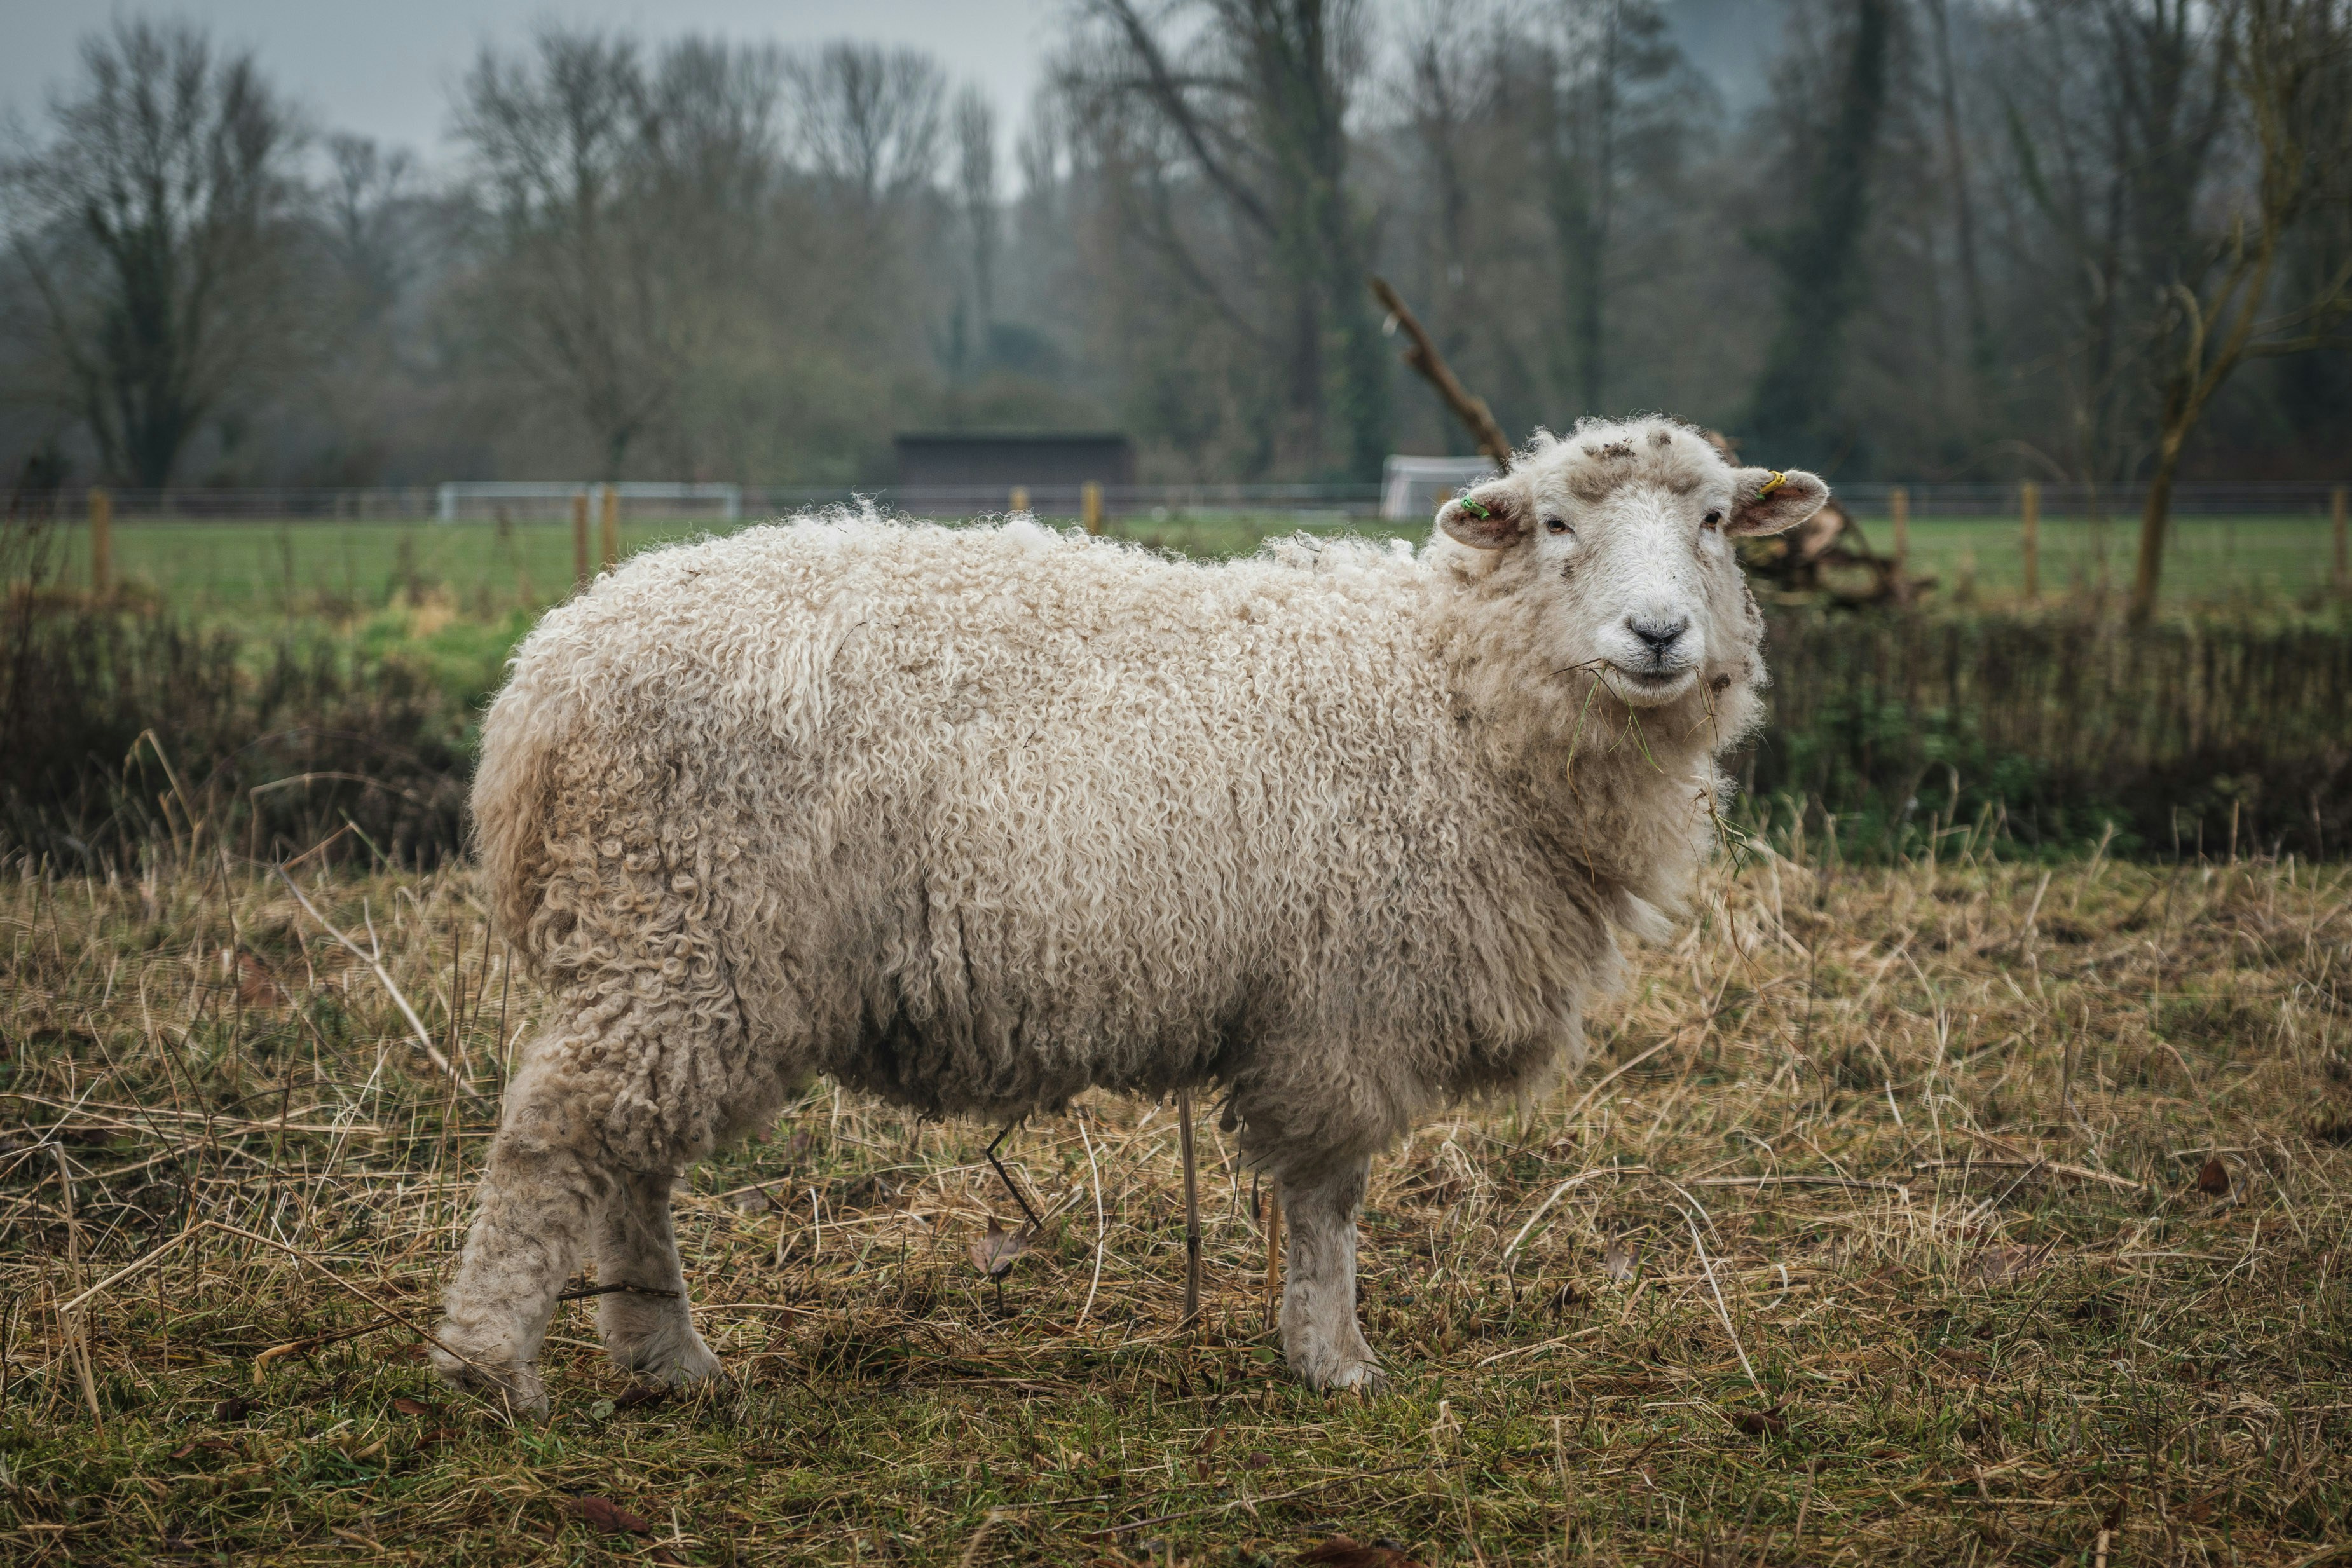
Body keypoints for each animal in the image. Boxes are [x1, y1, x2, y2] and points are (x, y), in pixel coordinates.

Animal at [431, 416, 1828, 1412]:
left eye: (1714, 519)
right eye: (1551, 521)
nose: (1658, 633)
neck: (1449, 689)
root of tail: (546, 674)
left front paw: (1315, 1349)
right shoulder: (1341, 998)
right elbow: (1327, 1198)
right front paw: (1336, 1360)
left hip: (667, 951)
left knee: (628, 1155)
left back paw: (663, 1357)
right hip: (684, 929)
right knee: (556, 1138)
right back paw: (493, 1366)